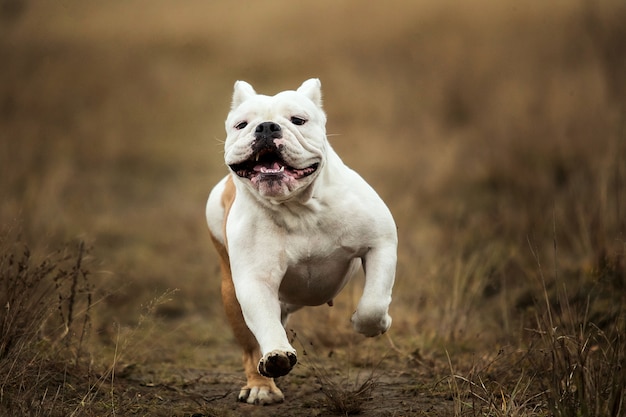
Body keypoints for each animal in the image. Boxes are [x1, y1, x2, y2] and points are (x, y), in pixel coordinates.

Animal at [207, 79, 398, 404]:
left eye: (298, 120)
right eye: (241, 125)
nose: (266, 127)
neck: (297, 207)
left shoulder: (380, 243)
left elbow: (373, 304)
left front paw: (375, 324)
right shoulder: (255, 281)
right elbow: (265, 324)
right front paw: (276, 355)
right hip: (231, 295)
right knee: (252, 345)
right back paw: (262, 385)